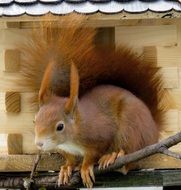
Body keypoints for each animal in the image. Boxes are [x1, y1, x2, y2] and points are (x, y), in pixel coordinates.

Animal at [19, 14, 166, 188]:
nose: (39, 144)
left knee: (129, 152)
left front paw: (85, 167)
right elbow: (70, 159)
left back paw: (113, 156)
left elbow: (93, 154)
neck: (71, 138)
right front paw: (67, 168)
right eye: (34, 121)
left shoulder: (100, 135)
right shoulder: (66, 149)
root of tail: (154, 129)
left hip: (132, 126)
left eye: (60, 126)